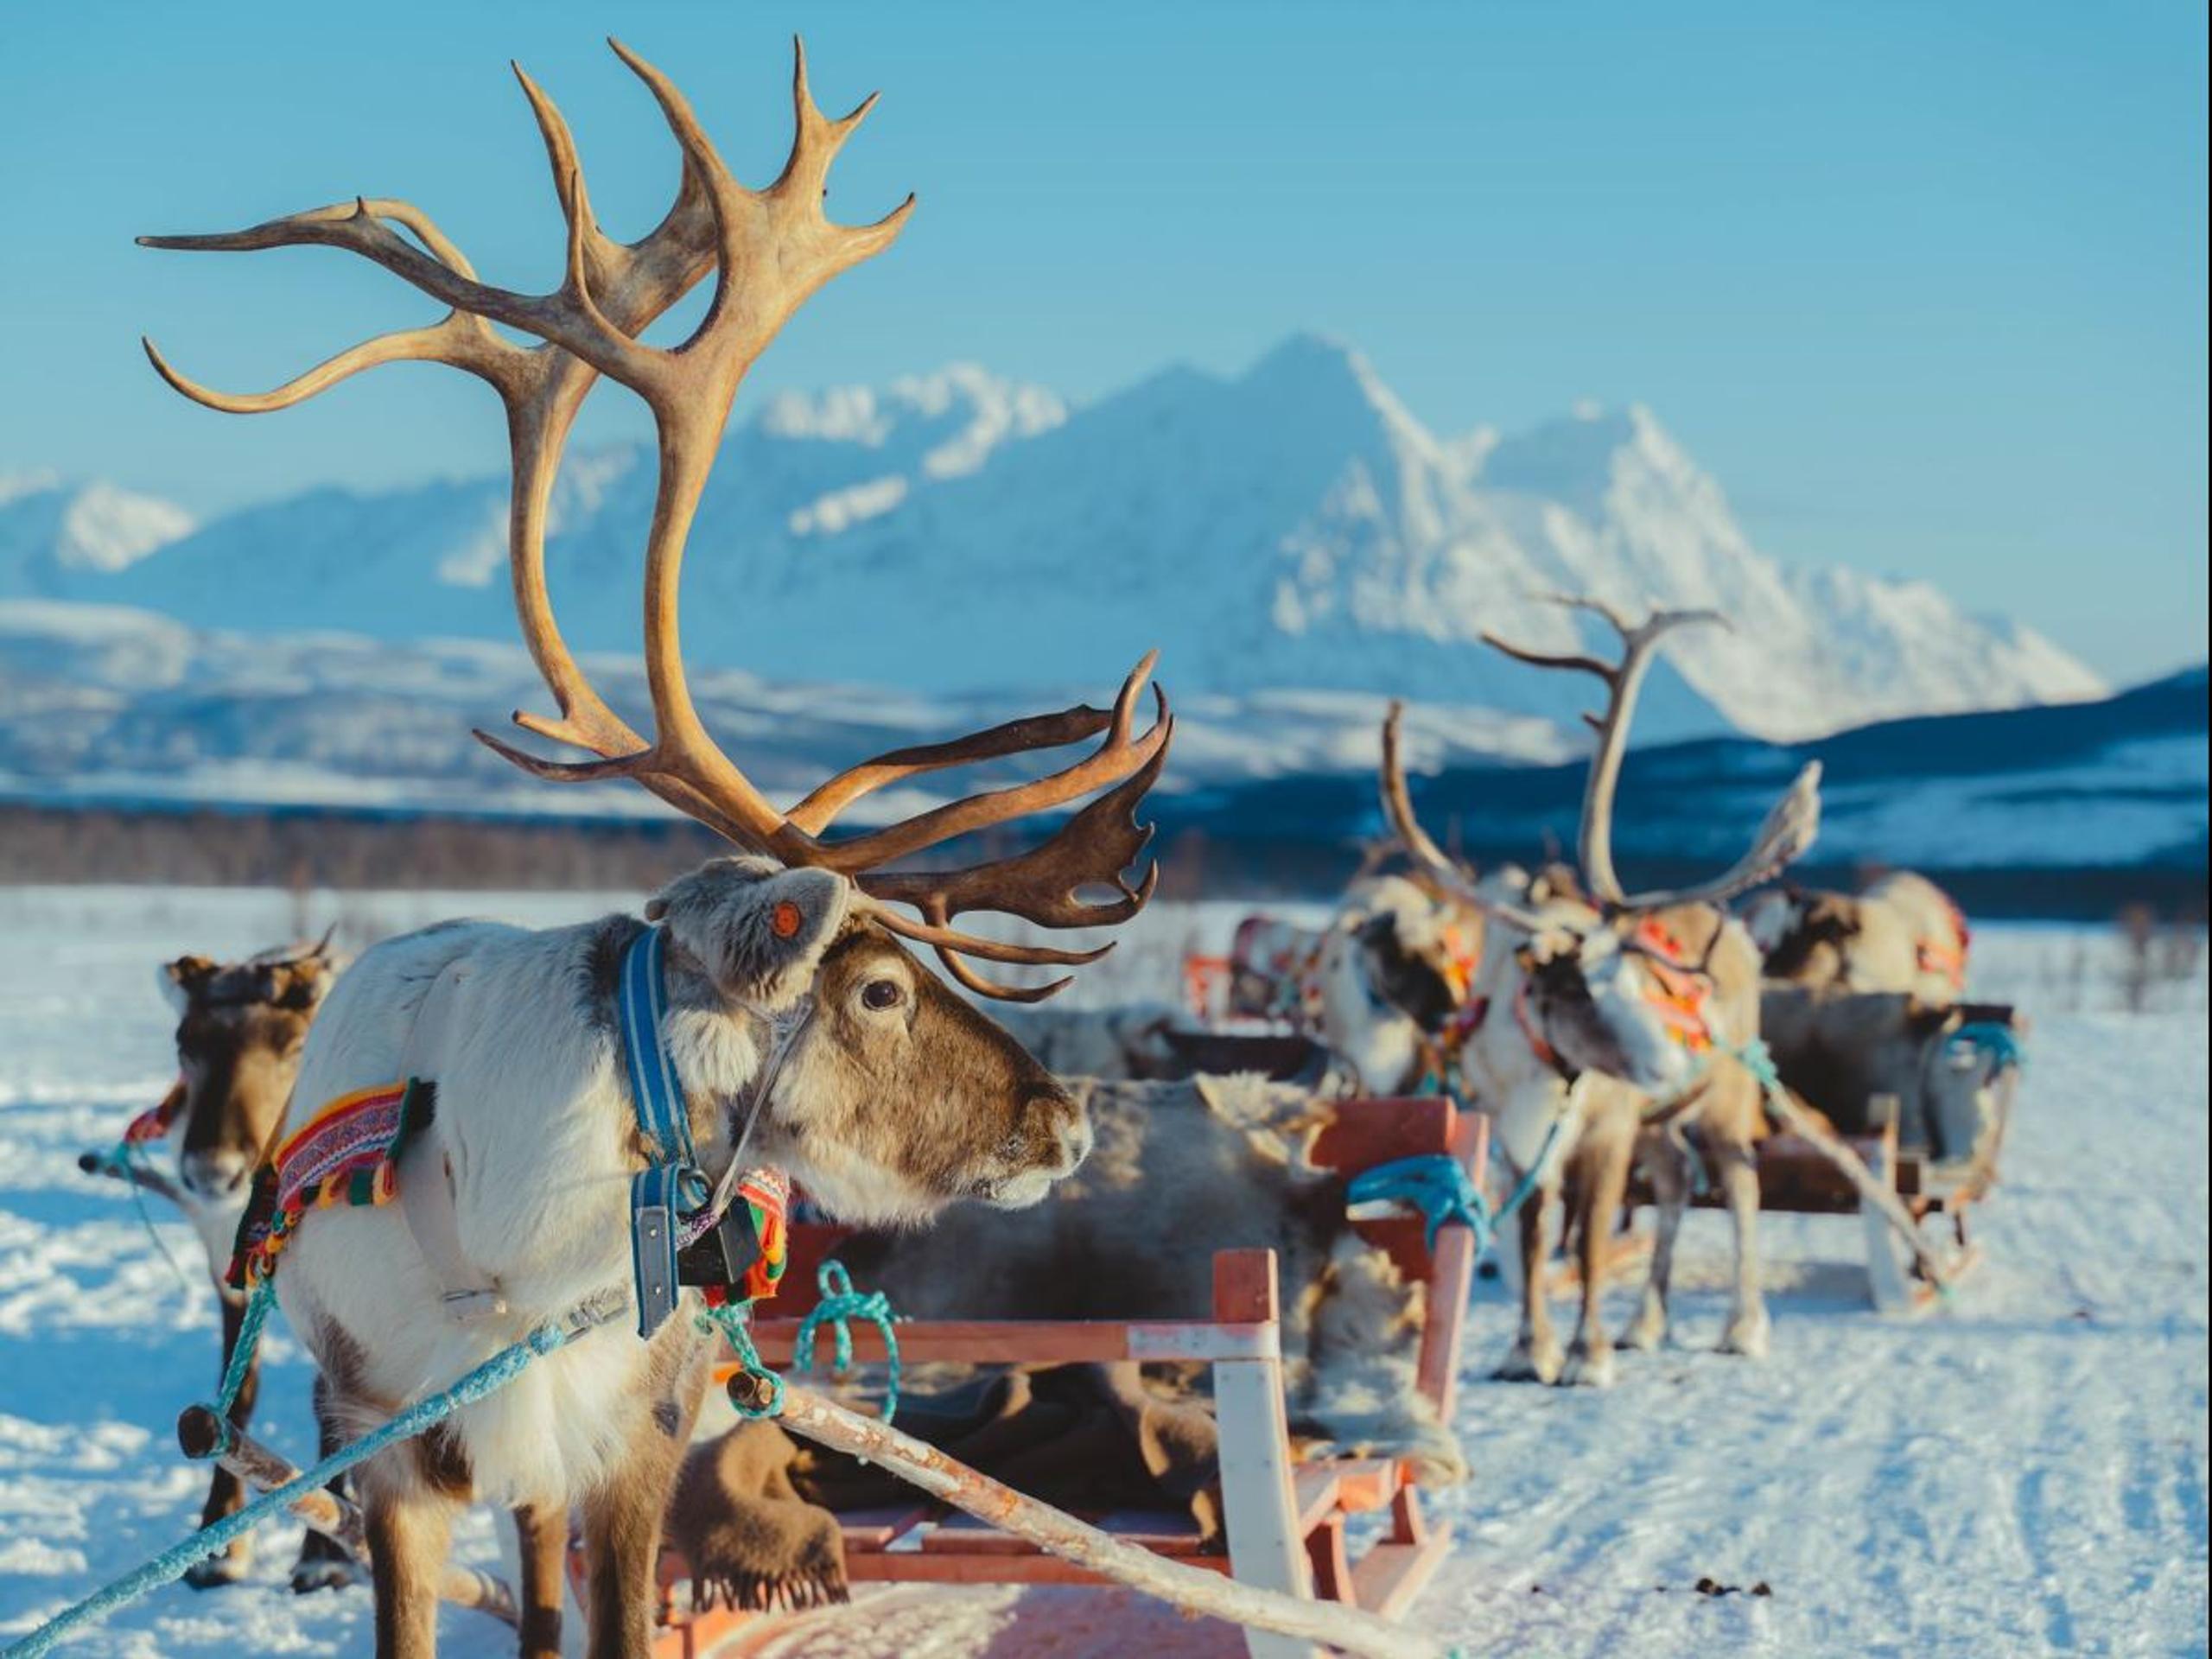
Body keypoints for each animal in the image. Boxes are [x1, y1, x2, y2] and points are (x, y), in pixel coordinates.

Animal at [150, 937, 357, 1592]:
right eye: (185, 1043)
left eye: (293, 1046)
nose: (212, 1173)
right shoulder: (229, 1274)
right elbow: (234, 1394)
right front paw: (217, 1541)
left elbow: (329, 1400)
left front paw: (325, 1555)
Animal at [1379, 598, 1822, 1385]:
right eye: (1583, 993)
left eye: (1640, 986)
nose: (1670, 1062)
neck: (1544, 1065)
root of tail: (1737, 932)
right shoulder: (1518, 1134)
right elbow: (1532, 1235)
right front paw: (1529, 1350)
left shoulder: (1608, 1130)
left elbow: (1586, 1243)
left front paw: (1585, 1357)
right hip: (1660, 1123)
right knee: (1675, 1181)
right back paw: (1645, 1323)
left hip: (1724, 1096)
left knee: (1739, 1183)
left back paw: (1742, 1327)